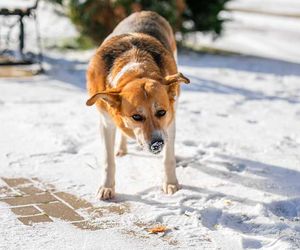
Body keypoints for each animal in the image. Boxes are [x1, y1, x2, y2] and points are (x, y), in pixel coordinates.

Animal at [86, 10, 189, 200]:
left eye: (161, 112)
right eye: (136, 116)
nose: (157, 144)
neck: (137, 71)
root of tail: (146, 12)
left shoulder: (169, 121)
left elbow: (168, 158)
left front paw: (170, 183)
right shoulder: (106, 122)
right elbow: (108, 160)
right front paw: (107, 187)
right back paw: (121, 149)